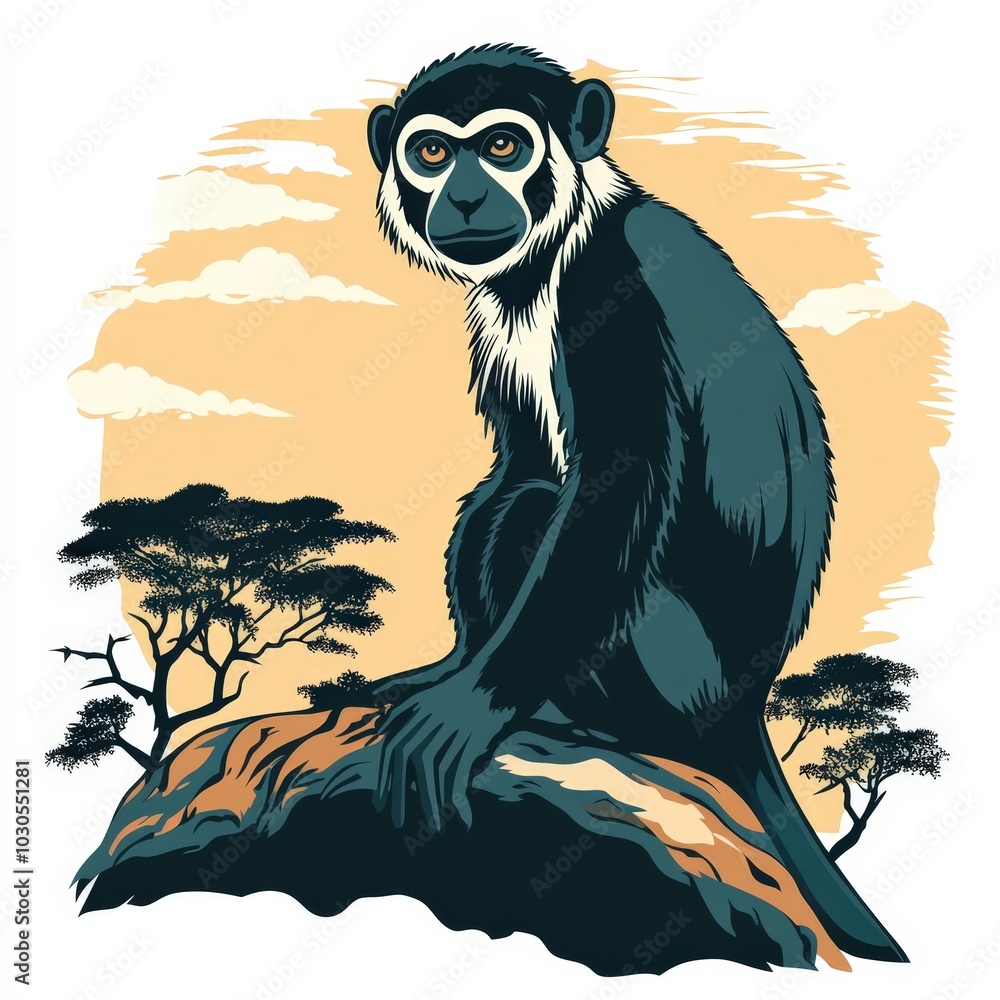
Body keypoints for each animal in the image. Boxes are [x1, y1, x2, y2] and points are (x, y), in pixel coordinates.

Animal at [365, 44, 903, 962]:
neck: (550, 259)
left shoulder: (617, 289)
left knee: (536, 522)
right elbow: (516, 468)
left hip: (670, 668)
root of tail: (745, 711)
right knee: (517, 502)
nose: (465, 196)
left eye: (503, 146)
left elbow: (611, 491)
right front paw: (448, 670)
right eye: (432, 154)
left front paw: (473, 704)